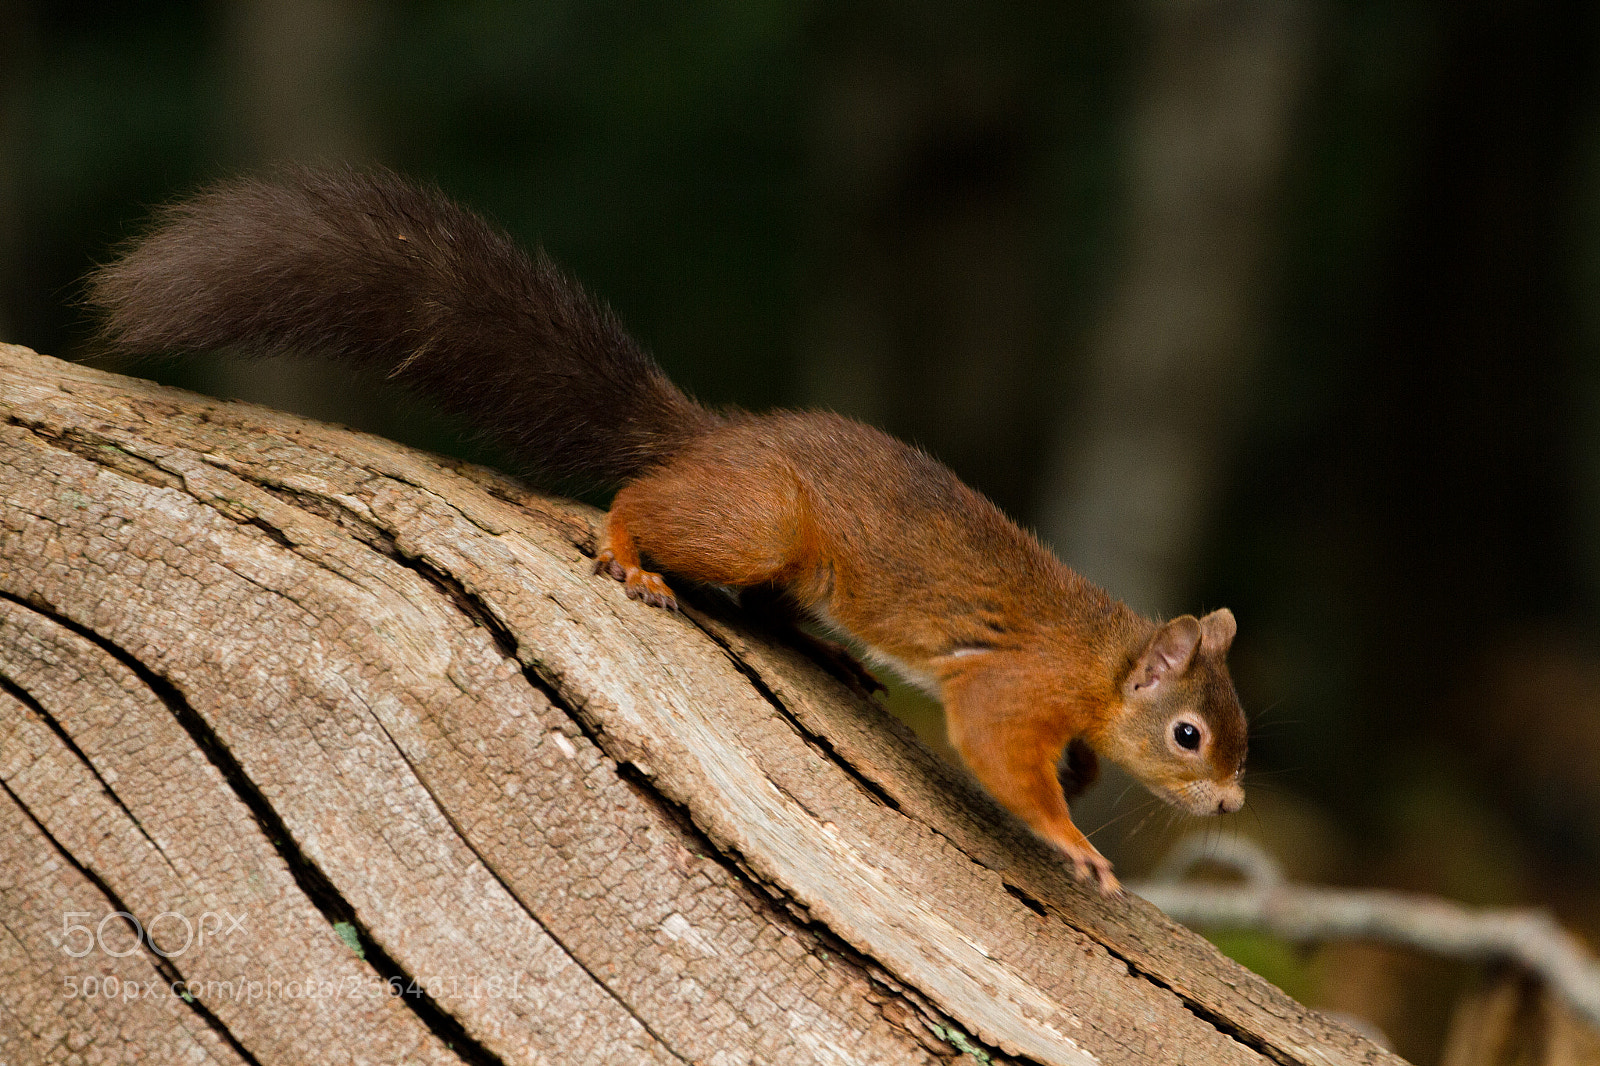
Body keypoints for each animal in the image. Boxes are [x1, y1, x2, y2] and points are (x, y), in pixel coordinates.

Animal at [86, 167, 1247, 895]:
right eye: (1190, 734)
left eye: (1237, 732)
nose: (1233, 804)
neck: (1102, 657)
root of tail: (712, 441)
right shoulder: (1020, 683)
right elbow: (999, 748)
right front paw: (1072, 839)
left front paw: (1082, 786)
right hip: (760, 523)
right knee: (649, 511)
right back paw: (628, 555)